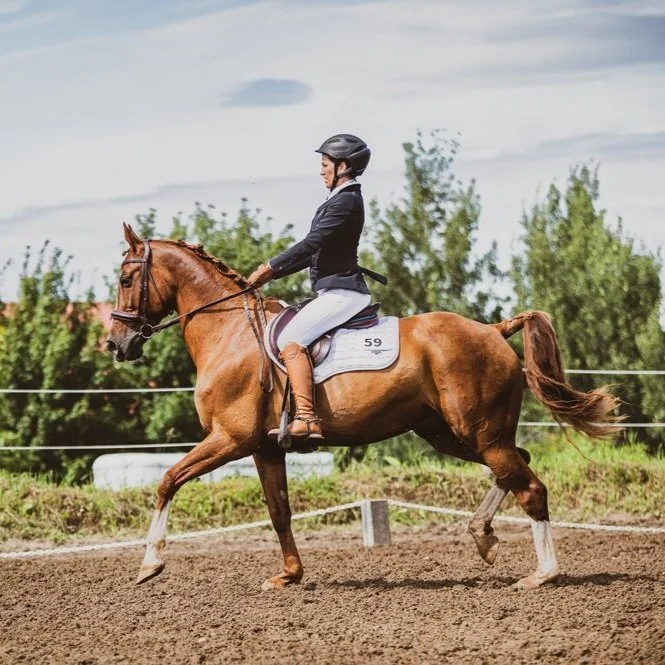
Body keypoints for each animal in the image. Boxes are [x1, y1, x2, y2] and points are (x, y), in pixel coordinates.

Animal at [106, 224, 621, 590]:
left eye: (126, 278)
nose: (115, 344)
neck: (230, 332)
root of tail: (494, 329)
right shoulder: (264, 448)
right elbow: (279, 512)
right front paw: (290, 575)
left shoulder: (229, 439)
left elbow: (167, 481)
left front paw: (150, 564)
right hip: (450, 433)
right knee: (516, 470)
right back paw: (483, 536)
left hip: (479, 432)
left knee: (530, 487)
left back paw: (541, 574)